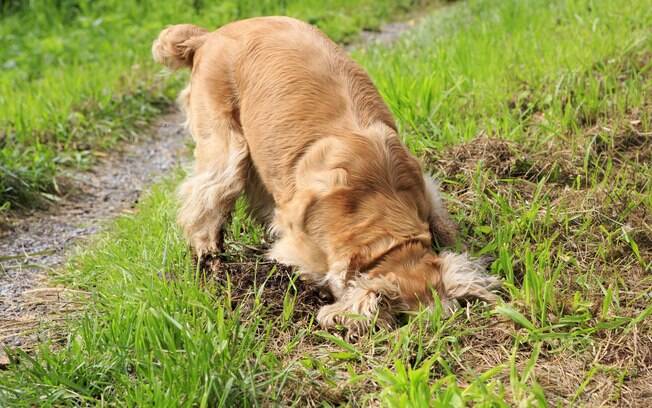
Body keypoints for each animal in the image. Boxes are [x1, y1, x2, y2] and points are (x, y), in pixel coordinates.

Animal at [153, 17, 500, 336]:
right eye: (404, 320)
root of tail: (208, 36)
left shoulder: (425, 190)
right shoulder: (301, 243)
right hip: (223, 144)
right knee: (204, 200)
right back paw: (210, 260)